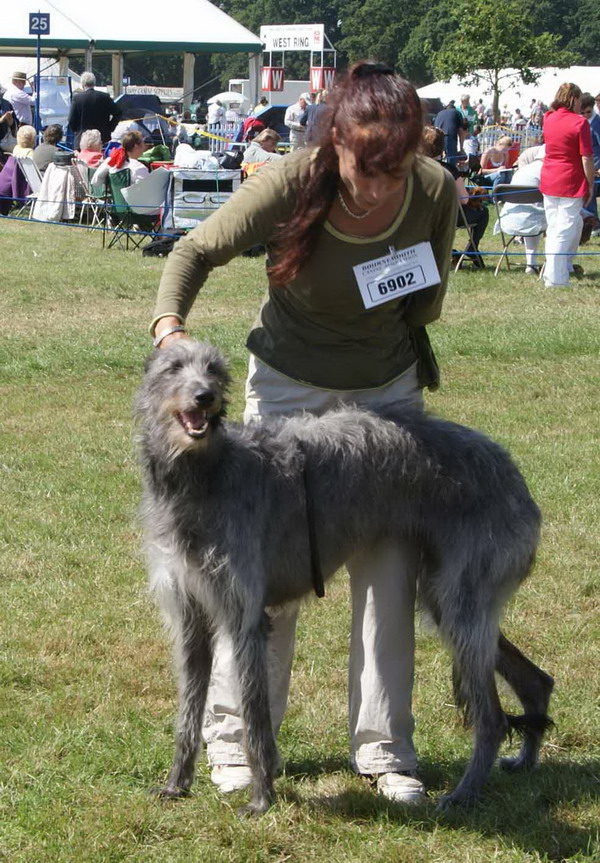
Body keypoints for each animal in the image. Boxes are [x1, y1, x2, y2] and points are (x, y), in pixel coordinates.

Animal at [135, 340, 552, 816]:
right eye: (173, 367)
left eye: (215, 371)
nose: (205, 397)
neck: (205, 472)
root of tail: (517, 480)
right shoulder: (191, 616)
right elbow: (189, 711)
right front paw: (176, 785)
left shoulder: (245, 617)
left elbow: (256, 718)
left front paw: (261, 800)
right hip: (453, 601)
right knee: (536, 680)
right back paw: (524, 760)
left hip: (462, 596)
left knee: (492, 718)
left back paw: (463, 793)